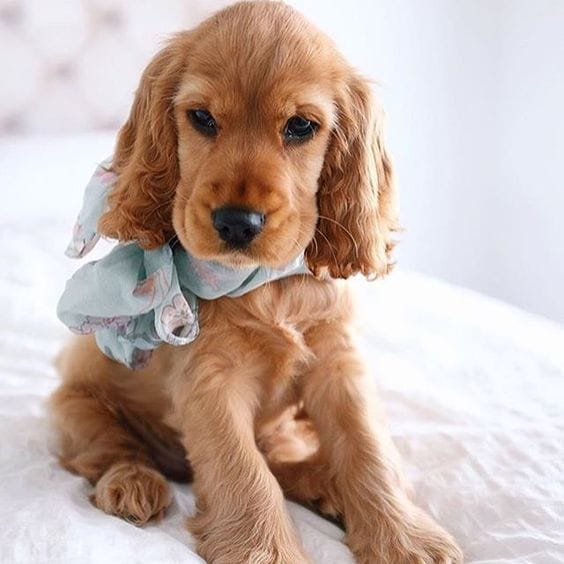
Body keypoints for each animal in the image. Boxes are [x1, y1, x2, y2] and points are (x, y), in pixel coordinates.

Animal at [49, 2, 463, 562]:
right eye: (202, 118)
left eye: (300, 126)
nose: (237, 223)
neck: (268, 284)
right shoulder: (211, 376)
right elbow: (244, 471)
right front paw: (265, 550)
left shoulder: (338, 362)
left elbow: (368, 447)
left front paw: (404, 538)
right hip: (75, 406)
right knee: (109, 449)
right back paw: (132, 484)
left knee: (281, 454)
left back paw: (322, 482)